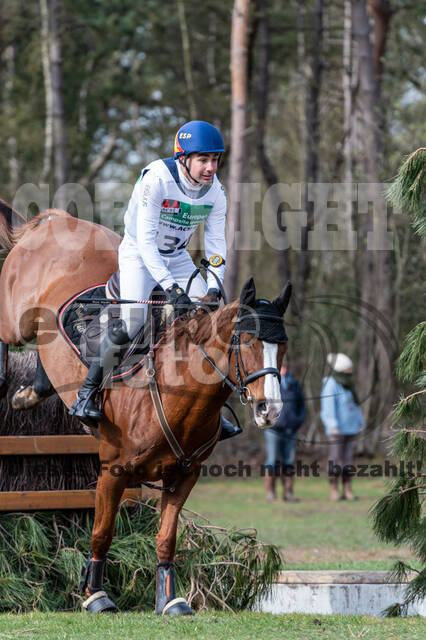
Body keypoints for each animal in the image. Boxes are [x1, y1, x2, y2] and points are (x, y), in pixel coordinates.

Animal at [0, 204, 290, 616]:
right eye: (246, 340)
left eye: (282, 346)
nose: (271, 410)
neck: (179, 396)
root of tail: (58, 221)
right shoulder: (113, 471)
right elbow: (102, 534)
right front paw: (95, 595)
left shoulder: (183, 477)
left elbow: (166, 538)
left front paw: (169, 600)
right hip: (16, 321)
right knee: (6, 333)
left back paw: (29, 394)